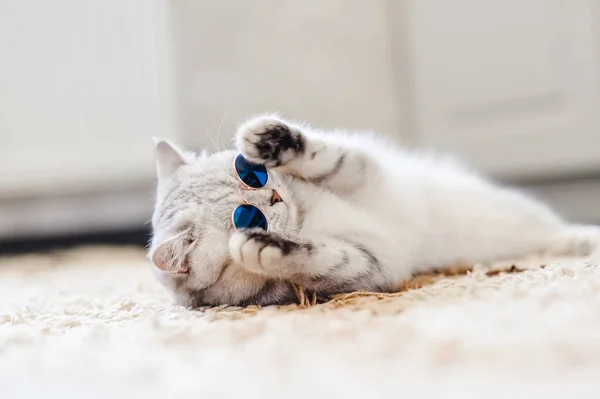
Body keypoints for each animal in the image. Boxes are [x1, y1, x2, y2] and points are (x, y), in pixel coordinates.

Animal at [149, 114, 600, 308]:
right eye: (247, 217)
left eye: (251, 175)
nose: (274, 197)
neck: (305, 217)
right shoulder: (373, 265)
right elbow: (320, 257)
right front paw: (267, 247)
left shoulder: (363, 173)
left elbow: (326, 157)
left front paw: (271, 140)